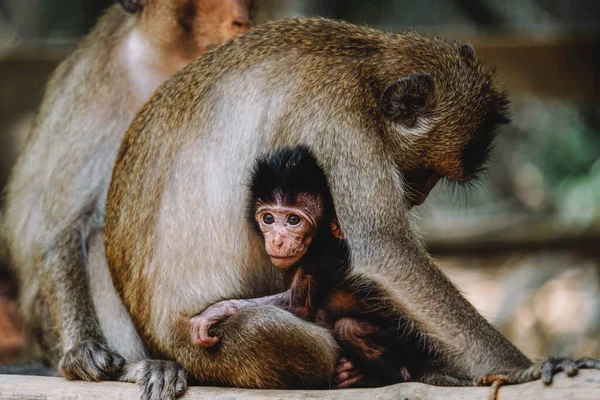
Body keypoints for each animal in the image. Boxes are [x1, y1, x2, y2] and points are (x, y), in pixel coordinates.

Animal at [3, 0, 251, 394]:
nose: (241, 17)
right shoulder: (98, 86)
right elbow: (62, 226)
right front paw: (84, 348)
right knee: (94, 240)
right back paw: (139, 366)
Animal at [106, 18, 600, 390]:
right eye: (424, 171)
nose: (420, 193)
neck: (369, 64)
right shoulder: (343, 123)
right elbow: (387, 251)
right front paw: (526, 368)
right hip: (204, 354)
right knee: (296, 338)